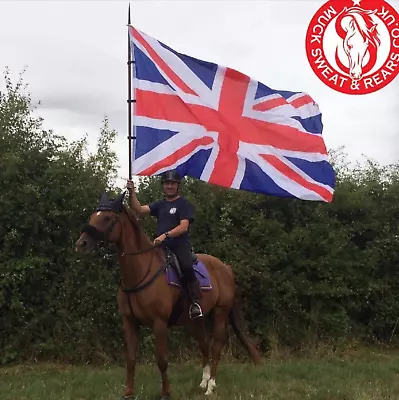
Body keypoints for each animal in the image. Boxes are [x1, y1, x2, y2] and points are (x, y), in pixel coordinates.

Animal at [75, 192, 262, 398]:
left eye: (107, 218)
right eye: (93, 216)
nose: (81, 244)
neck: (141, 272)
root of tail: (226, 268)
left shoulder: (159, 323)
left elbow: (162, 360)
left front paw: (166, 392)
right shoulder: (129, 322)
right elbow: (131, 359)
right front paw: (129, 392)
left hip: (220, 312)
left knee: (216, 346)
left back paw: (211, 386)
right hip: (195, 320)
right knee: (204, 343)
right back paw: (203, 383)